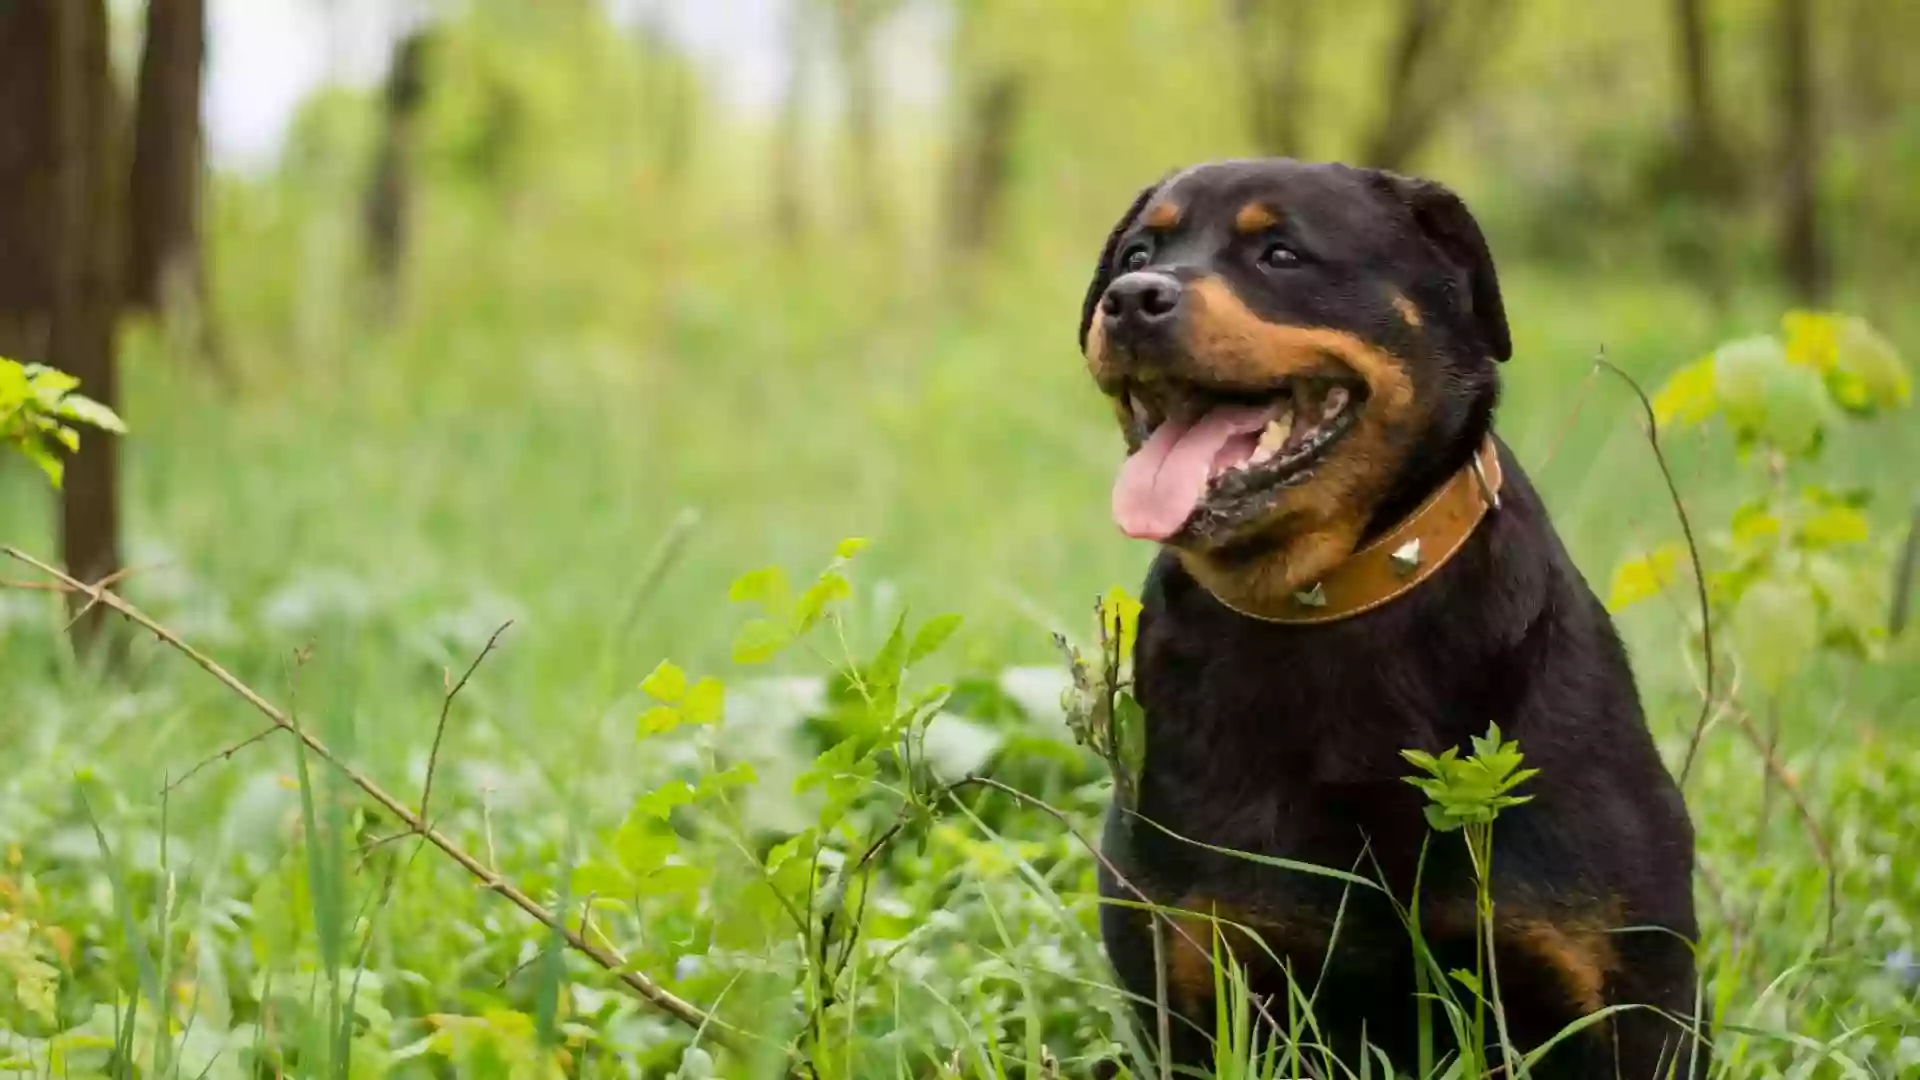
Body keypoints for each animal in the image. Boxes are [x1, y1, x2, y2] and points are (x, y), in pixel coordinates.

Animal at [1090, 159, 1704, 1076]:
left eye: (1280, 253)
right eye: (1136, 252)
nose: (1131, 298)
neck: (1330, 598)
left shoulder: (1634, 995)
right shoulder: (1192, 976)